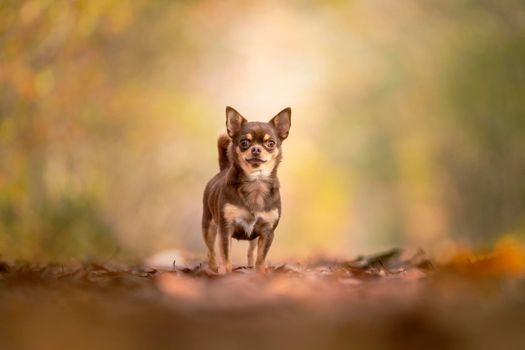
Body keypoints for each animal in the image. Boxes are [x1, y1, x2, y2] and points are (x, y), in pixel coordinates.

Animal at [201, 106, 290, 274]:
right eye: (244, 142)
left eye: (270, 143)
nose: (256, 149)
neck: (255, 182)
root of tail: (223, 169)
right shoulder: (226, 229)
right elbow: (226, 257)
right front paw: (226, 273)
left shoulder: (267, 231)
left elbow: (261, 257)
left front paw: (260, 272)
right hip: (208, 226)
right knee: (210, 250)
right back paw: (213, 268)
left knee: (251, 250)